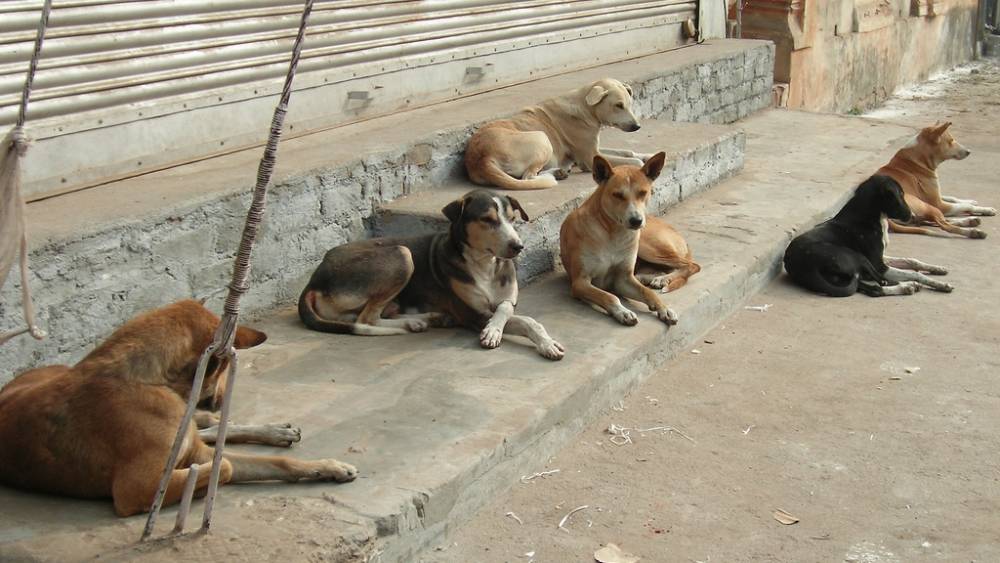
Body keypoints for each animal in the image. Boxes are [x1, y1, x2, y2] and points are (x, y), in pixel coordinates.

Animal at [0, 302, 358, 516]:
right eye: (224, 367)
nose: (220, 396)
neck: (150, 380)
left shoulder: (196, 450)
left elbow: (276, 463)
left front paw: (329, 466)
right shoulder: (136, 490)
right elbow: (226, 465)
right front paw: (197, 490)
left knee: (210, 425)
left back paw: (273, 431)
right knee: (211, 430)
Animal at [296, 189, 568, 362]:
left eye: (512, 219)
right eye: (487, 219)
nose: (518, 247)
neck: (485, 265)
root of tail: (314, 279)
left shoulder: (508, 299)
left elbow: (509, 310)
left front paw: (543, 341)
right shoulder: (473, 314)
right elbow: (524, 320)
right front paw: (493, 332)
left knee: (369, 316)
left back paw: (426, 318)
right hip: (401, 254)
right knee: (366, 319)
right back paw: (415, 322)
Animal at [464, 77, 652, 192]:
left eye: (629, 104)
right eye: (618, 105)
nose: (637, 126)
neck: (585, 107)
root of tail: (482, 158)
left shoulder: (595, 149)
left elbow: (627, 152)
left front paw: (647, 156)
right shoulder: (589, 158)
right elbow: (632, 161)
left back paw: (559, 172)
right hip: (542, 138)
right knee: (528, 177)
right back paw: (555, 174)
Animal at [564, 152, 680, 328]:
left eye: (643, 193)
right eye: (617, 195)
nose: (636, 221)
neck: (613, 234)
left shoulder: (623, 279)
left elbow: (647, 292)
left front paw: (664, 308)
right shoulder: (580, 282)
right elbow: (609, 296)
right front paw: (623, 312)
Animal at [780, 175, 952, 300]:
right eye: (900, 195)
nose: (913, 216)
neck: (871, 217)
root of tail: (804, 268)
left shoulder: (881, 258)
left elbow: (912, 261)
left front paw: (937, 269)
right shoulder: (879, 265)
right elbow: (914, 273)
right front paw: (939, 284)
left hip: (846, 277)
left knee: (873, 288)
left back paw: (905, 287)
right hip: (857, 257)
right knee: (881, 282)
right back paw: (908, 285)